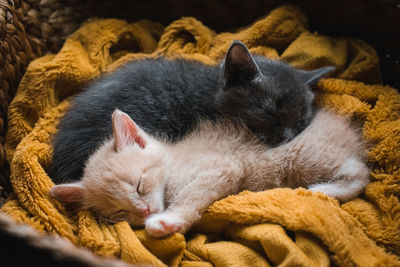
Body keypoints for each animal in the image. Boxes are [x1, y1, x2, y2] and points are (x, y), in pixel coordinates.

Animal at [51, 109, 370, 239]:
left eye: (140, 185)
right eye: (118, 212)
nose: (144, 212)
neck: (173, 162)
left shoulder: (220, 167)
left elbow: (191, 200)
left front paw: (167, 222)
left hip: (303, 157)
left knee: (360, 172)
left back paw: (323, 190)